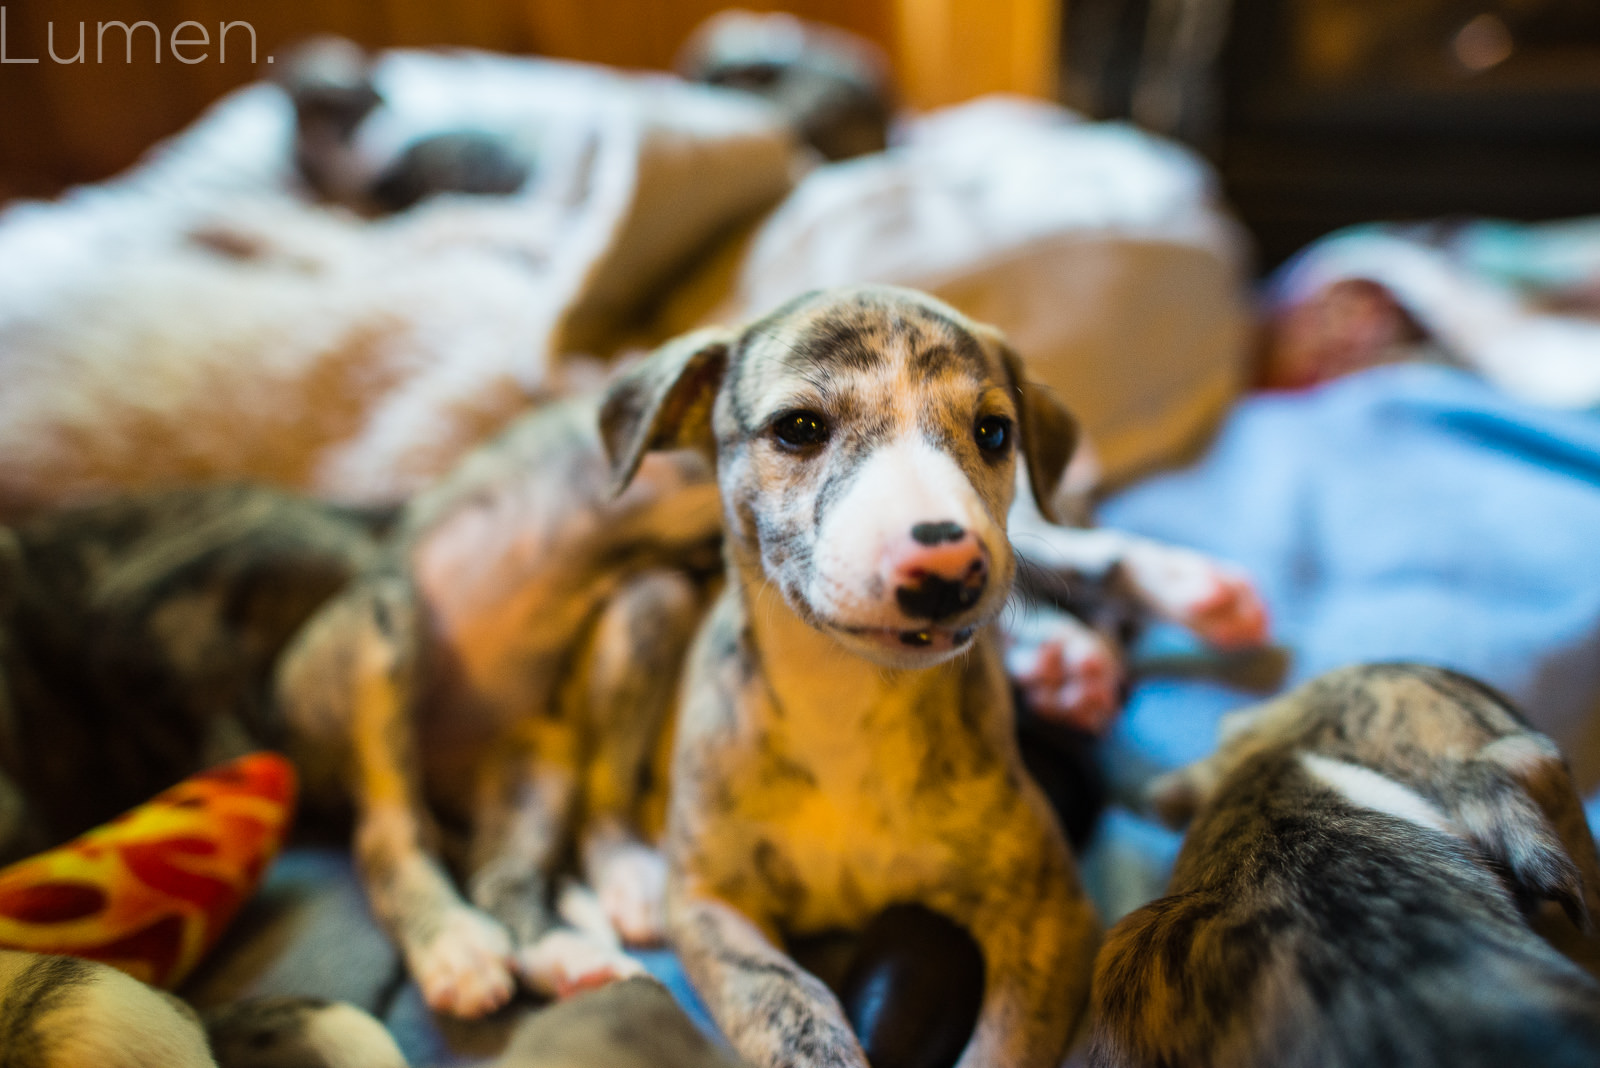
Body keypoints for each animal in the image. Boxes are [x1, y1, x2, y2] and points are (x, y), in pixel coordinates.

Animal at [598, 286, 1100, 1068]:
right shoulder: (712, 906)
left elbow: (1002, 1048)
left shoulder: (1047, 909)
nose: (947, 571)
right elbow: (791, 1009)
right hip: (646, 613)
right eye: (798, 428)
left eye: (993, 433)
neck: (843, 692)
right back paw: (627, 878)